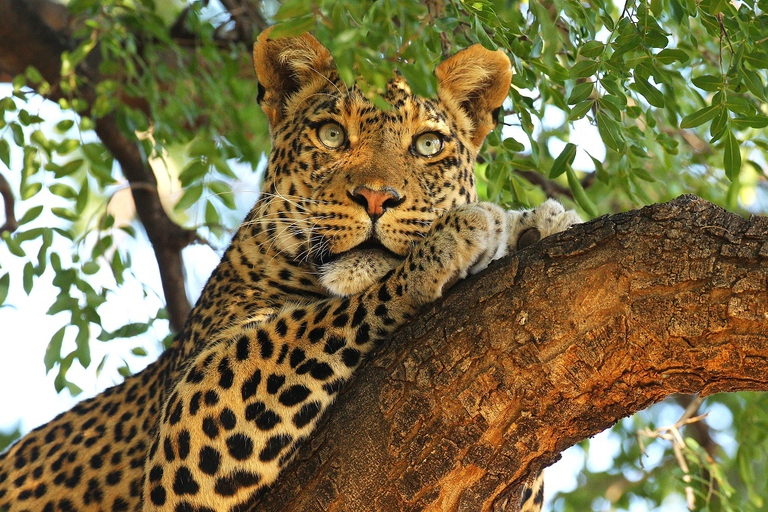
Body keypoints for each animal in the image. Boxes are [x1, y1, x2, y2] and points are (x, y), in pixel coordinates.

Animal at [0, 29, 580, 512]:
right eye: (331, 135)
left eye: (428, 145)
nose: (376, 198)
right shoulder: (189, 415)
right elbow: (306, 323)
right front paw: (455, 240)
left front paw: (536, 226)